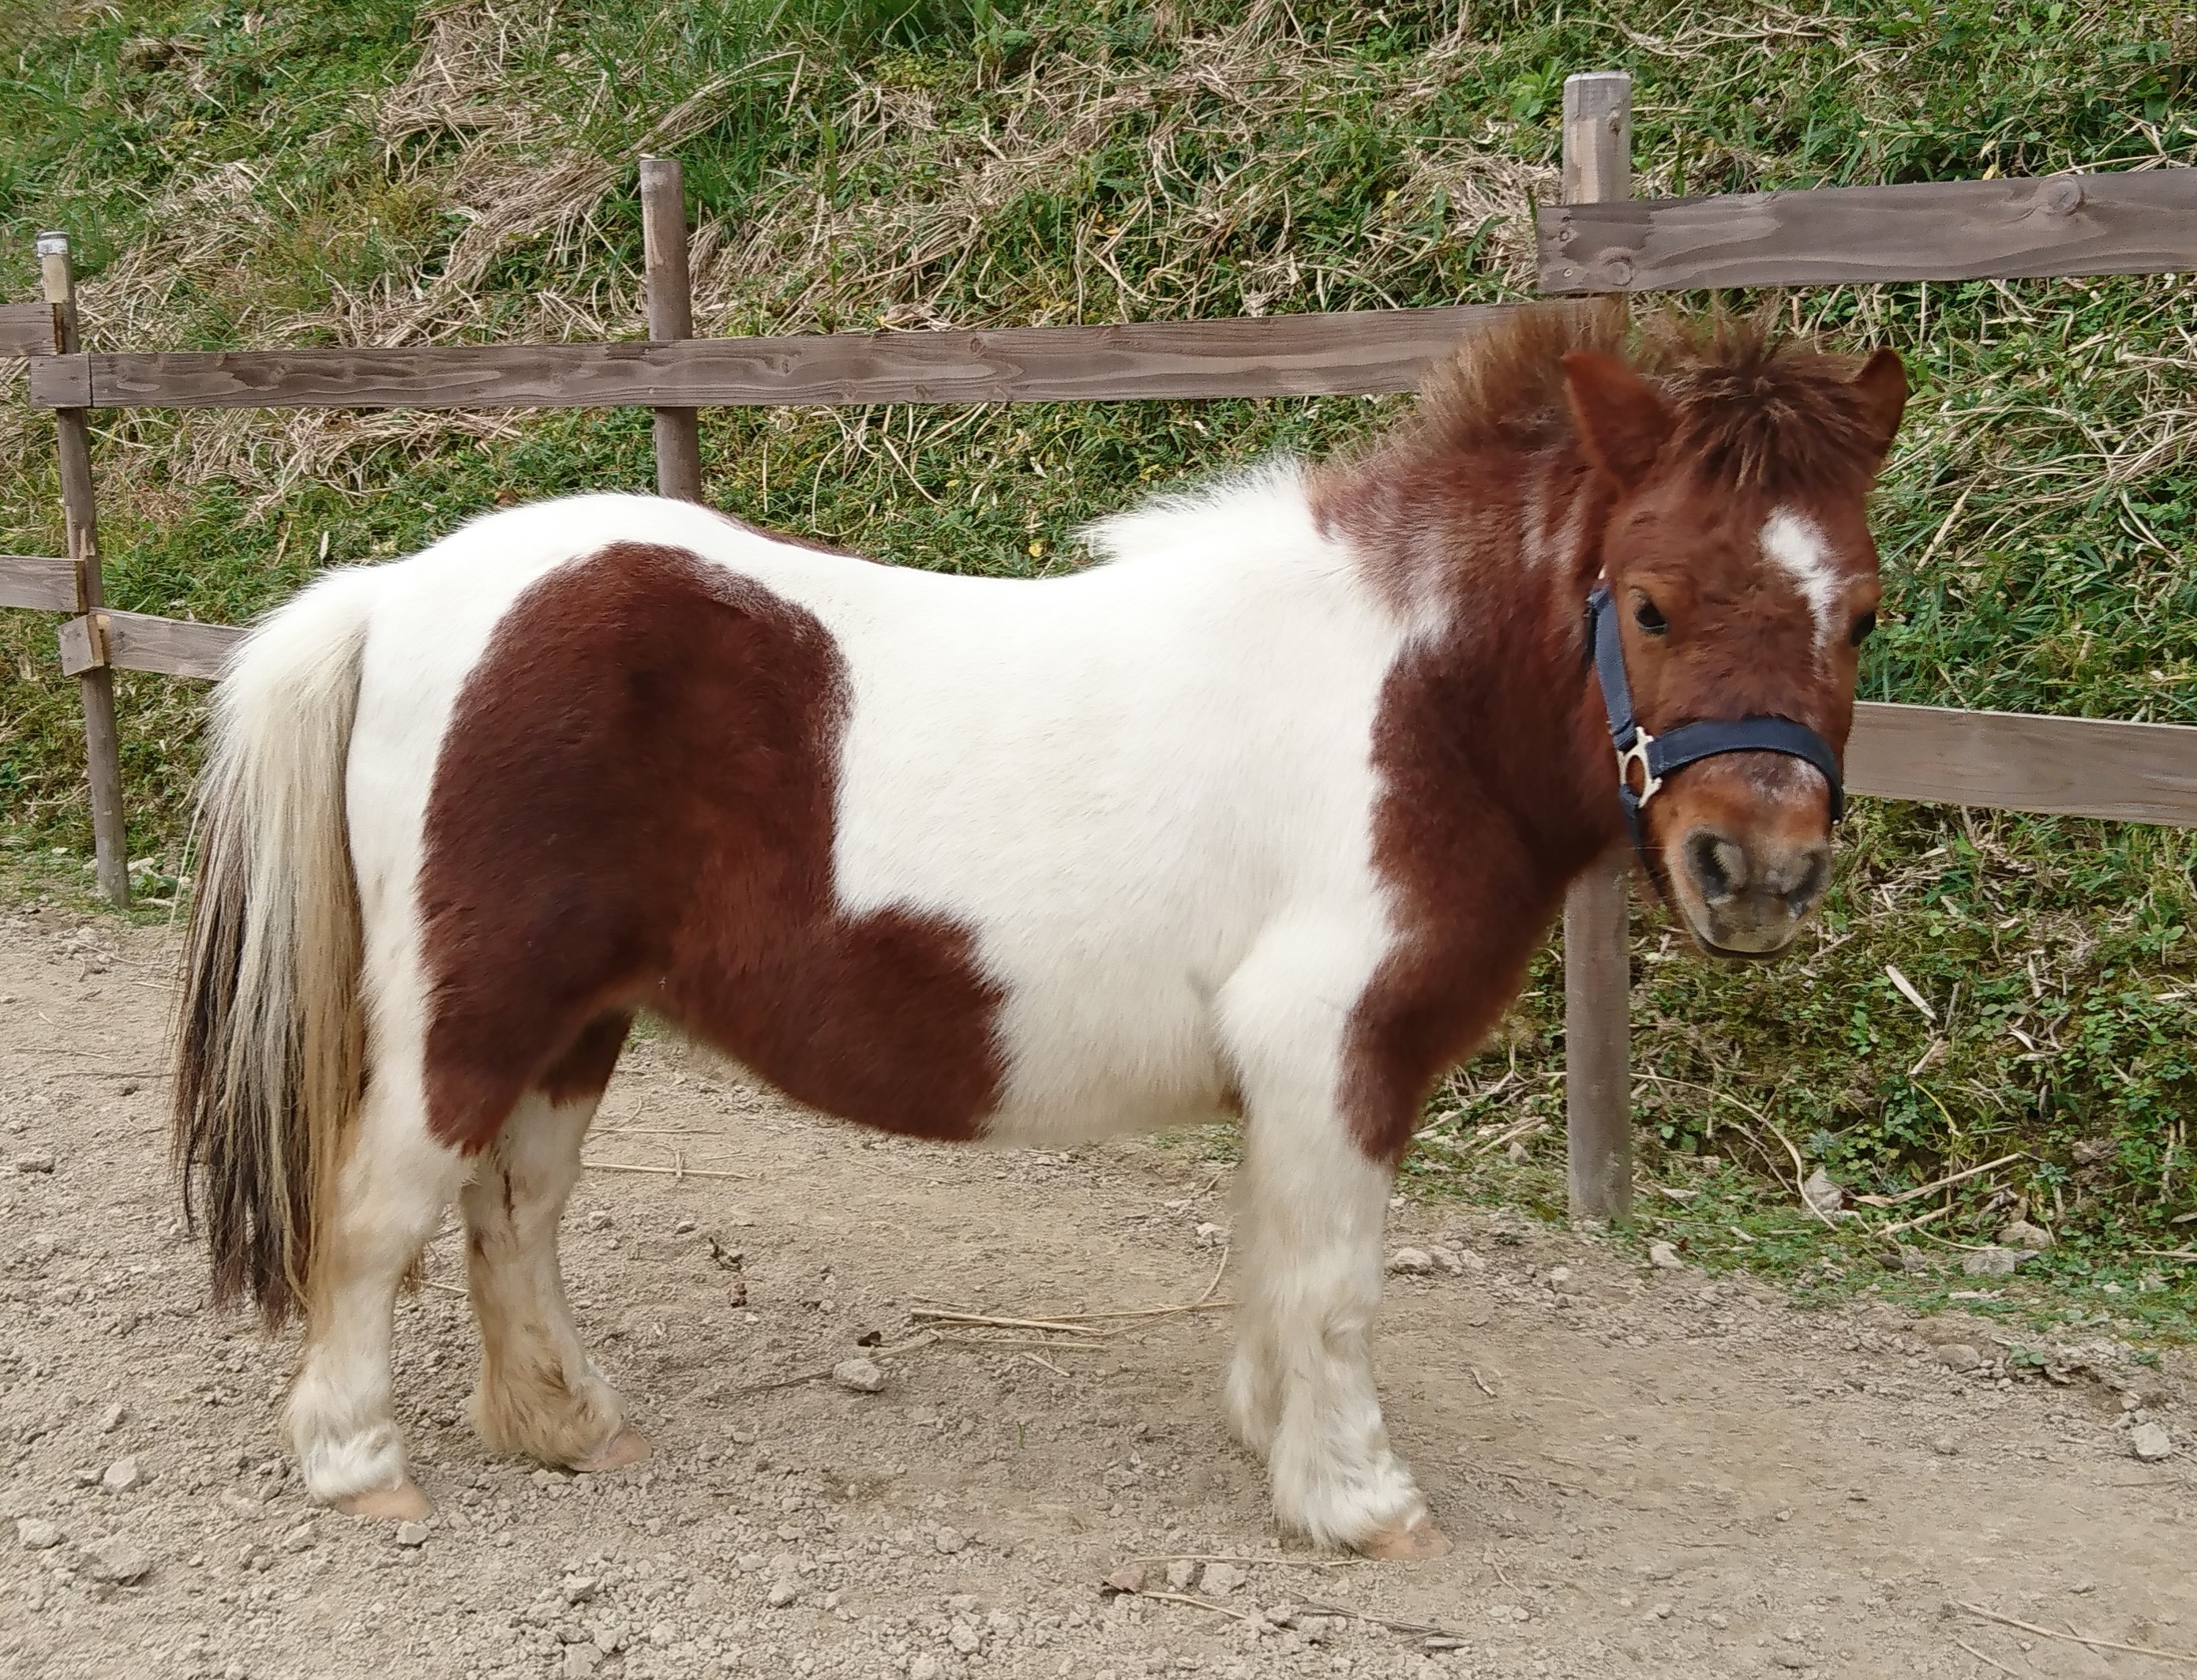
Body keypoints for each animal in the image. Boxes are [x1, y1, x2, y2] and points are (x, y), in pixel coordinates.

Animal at [171, 301, 1906, 1563]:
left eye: (1862, 609)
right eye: (1650, 600)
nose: (1753, 870)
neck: (1401, 706)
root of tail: (400, 590)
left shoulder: (1292, 1079)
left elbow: (1272, 1259)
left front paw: (1270, 1432)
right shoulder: (1335, 1052)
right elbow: (1336, 1280)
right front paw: (1359, 1500)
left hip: (574, 1015)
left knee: (514, 1211)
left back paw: (569, 1422)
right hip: (468, 1011)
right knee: (379, 1209)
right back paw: (357, 1464)